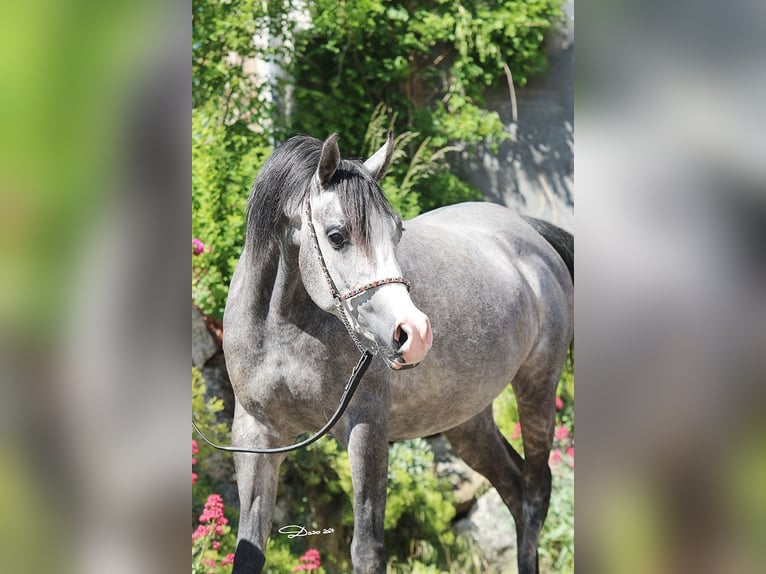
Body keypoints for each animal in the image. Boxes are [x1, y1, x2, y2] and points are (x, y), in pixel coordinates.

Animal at [224, 134, 576, 574]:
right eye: (337, 236)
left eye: (397, 231)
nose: (415, 333)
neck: (282, 332)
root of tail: (529, 231)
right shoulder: (256, 437)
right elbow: (248, 548)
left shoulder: (367, 427)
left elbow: (367, 549)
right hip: (467, 419)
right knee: (513, 488)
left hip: (538, 387)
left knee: (535, 493)